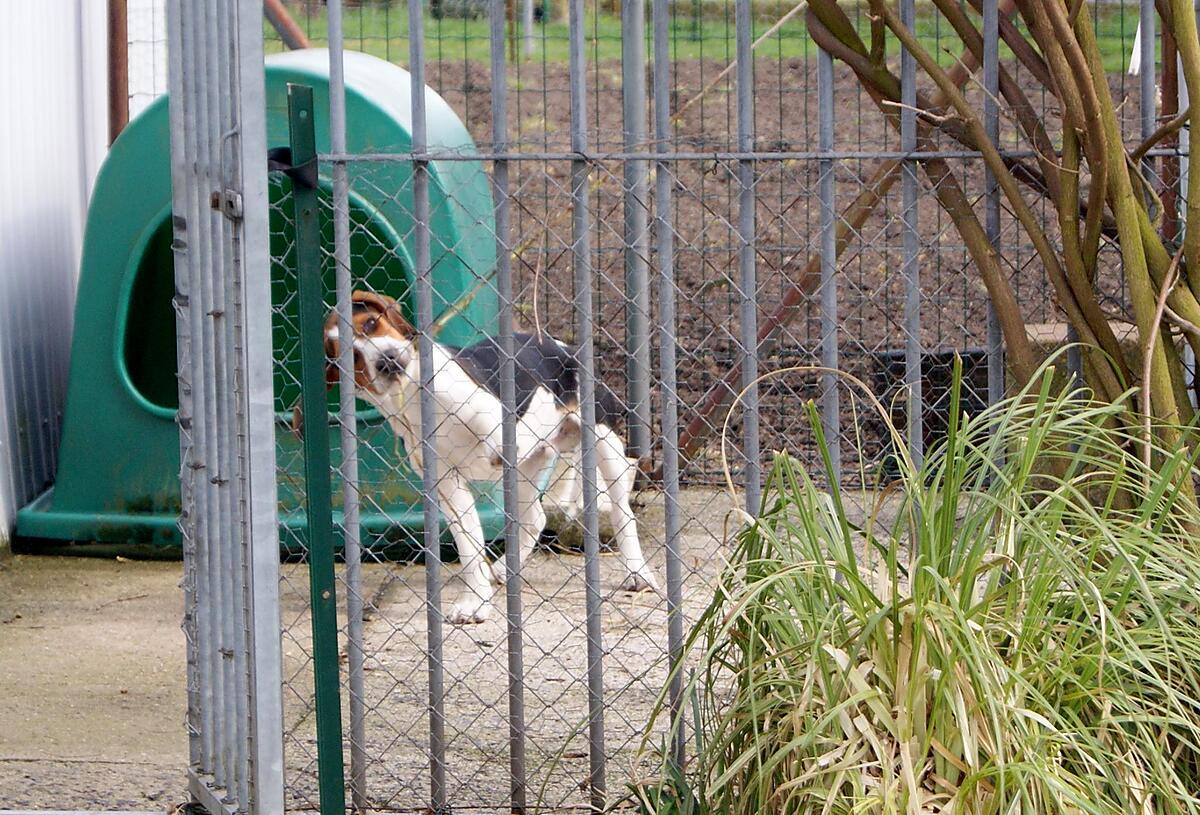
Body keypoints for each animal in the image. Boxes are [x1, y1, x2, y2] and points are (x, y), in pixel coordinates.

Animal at [324, 292, 662, 624]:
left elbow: (494, 429)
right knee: (536, 519)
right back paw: (503, 568)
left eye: (371, 323)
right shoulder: (447, 484)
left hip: (604, 442)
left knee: (622, 513)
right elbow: (469, 548)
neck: (411, 397)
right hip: (528, 471)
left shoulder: (495, 423)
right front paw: (474, 602)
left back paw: (638, 573)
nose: (386, 360)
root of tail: (561, 344)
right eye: (352, 358)